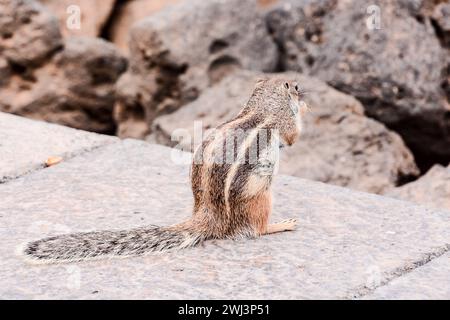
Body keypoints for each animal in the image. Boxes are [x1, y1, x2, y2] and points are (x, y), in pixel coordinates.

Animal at [22, 76, 308, 264]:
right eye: (294, 86)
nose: (302, 91)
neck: (262, 105)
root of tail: (209, 216)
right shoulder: (284, 124)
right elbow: (293, 136)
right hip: (261, 196)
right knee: (256, 229)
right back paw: (281, 225)